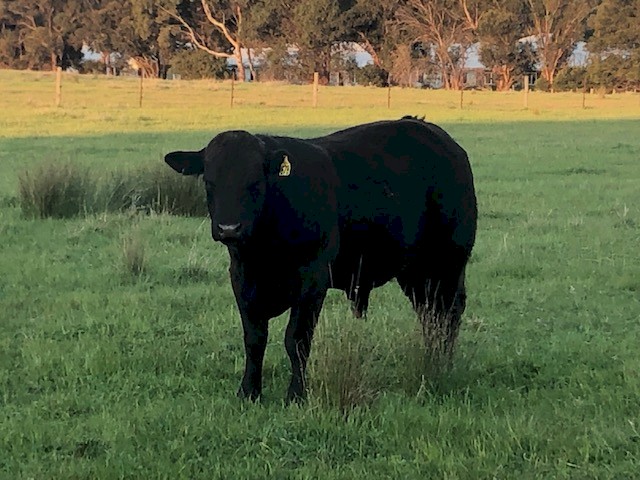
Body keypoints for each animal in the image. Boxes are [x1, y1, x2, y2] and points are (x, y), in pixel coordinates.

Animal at [164, 116, 477, 402]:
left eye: (254, 183)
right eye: (209, 182)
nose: (229, 228)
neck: (263, 253)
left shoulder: (312, 281)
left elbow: (296, 340)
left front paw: (296, 394)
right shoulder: (242, 280)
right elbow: (254, 339)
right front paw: (249, 391)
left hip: (447, 264)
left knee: (448, 313)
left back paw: (441, 367)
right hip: (416, 273)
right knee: (430, 315)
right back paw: (433, 361)